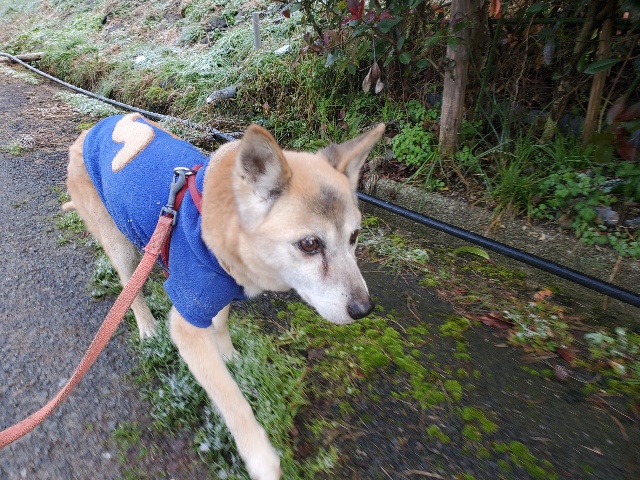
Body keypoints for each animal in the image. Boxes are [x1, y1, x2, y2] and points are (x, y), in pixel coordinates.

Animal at [64, 113, 385, 480]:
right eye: (309, 244)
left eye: (354, 236)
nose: (364, 309)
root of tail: (91, 130)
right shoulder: (188, 323)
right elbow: (232, 400)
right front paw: (260, 457)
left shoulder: (221, 292)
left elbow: (220, 325)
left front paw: (230, 355)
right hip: (122, 248)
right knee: (130, 289)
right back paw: (147, 328)